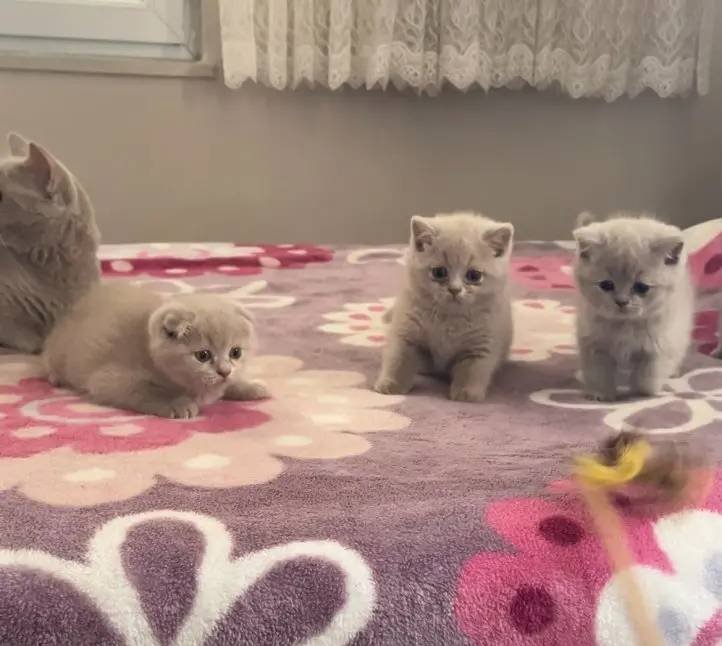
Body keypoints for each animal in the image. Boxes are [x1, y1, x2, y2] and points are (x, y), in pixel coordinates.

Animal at [43, 283, 269, 418]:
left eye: (235, 352)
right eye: (202, 355)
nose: (224, 371)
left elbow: (228, 385)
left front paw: (250, 387)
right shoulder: (107, 381)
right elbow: (147, 391)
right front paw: (178, 404)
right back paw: (54, 376)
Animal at [375, 212, 513, 402]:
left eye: (474, 275)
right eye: (439, 272)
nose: (455, 289)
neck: (449, 319)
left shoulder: (482, 343)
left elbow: (473, 369)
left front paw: (466, 394)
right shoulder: (406, 331)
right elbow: (399, 359)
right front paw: (391, 385)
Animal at [573, 211, 694, 401]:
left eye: (641, 287)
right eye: (606, 285)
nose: (622, 301)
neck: (625, 326)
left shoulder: (659, 343)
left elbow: (649, 375)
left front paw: (643, 393)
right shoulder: (593, 341)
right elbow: (598, 371)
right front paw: (601, 394)